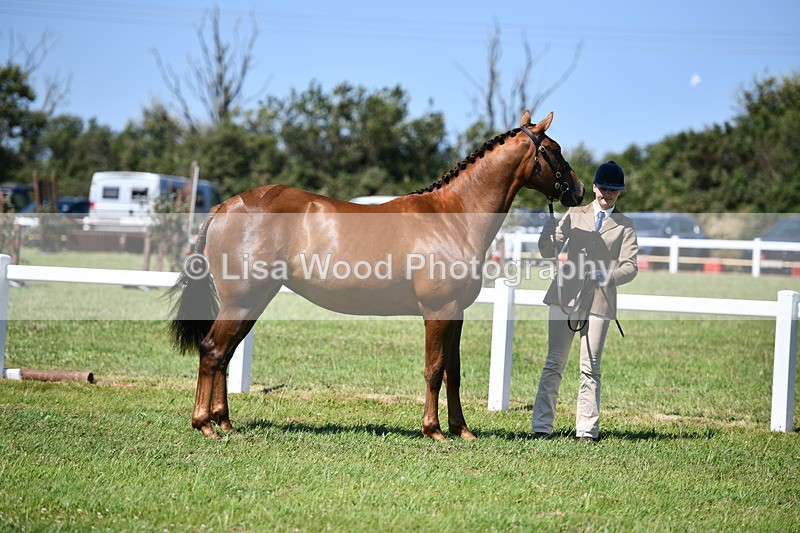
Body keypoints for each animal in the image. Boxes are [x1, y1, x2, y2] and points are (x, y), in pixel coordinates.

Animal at [168, 111, 585, 440]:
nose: (579, 191)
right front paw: (434, 430)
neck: (453, 217)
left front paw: (462, 430)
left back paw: (224, 423)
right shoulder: (437, 311)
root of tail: (225, 207)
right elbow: (434, 370)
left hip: (253, 302)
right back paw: (204, 424)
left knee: (224, 354)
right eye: (555, 149)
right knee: (213, 351)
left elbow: (454, 371)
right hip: (241, 301)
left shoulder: (457, 312)